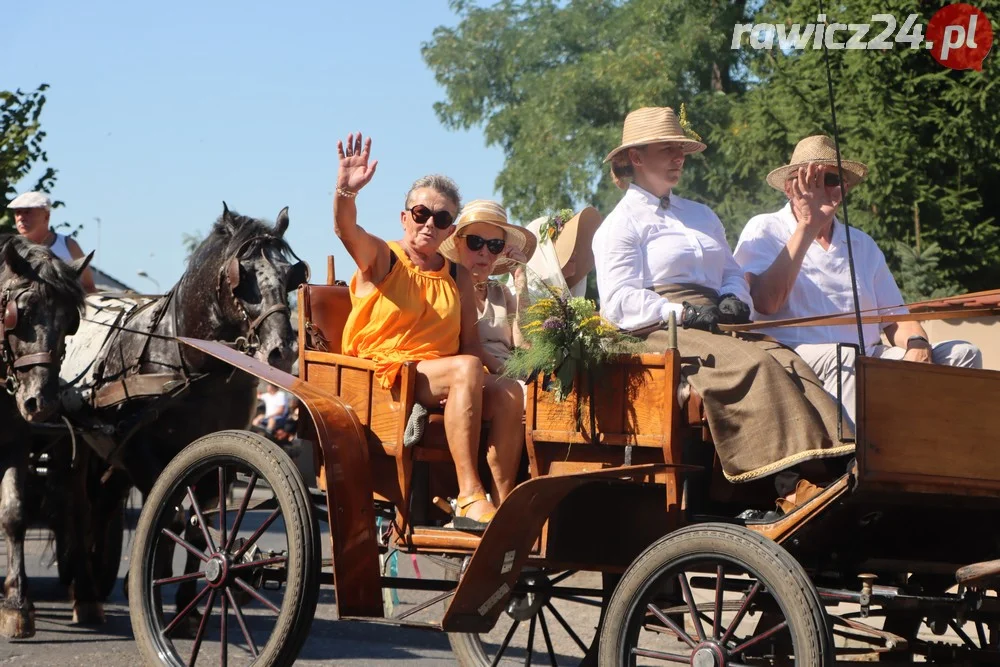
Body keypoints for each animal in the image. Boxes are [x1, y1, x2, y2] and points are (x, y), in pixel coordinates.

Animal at [63, 204, 304, 628]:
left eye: (289, 275)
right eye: (242, 276)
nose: (282, 350)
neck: (192, 361)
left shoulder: (213, 453)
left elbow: (200, 522)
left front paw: (188, 602)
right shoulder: (140, 453)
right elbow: (172, 516)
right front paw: (154, 587)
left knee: (104, 506)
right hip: (86, 446)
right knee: (81, 509)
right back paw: (86, 594)